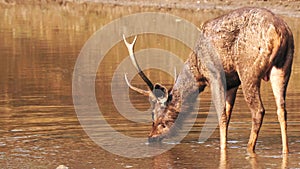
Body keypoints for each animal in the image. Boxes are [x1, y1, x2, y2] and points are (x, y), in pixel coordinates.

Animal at [122, 6, 292, 154]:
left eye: (153, 114)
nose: (151, 138)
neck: (197, 70)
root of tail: (278, 32)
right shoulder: (232, 82)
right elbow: (228, 114)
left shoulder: (215, 75)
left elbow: (222, 115)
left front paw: (223, 149)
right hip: (283, 68)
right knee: (282, 110)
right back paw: (285, 151)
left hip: (248, 70)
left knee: (258, 110)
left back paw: (249, 148)